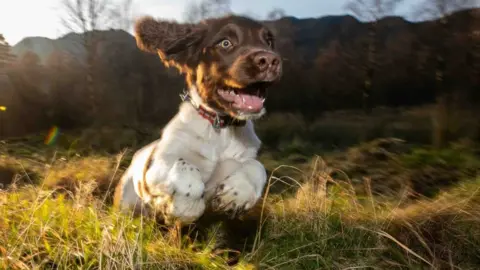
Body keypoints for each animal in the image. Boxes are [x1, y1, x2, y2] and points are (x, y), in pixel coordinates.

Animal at [113, 14, 284, 226]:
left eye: (268, 42)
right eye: (225, 43)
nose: (269, 60)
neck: (221, 127)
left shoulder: (245, 157)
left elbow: (257, 166)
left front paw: (236, 195)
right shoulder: (155, 167)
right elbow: (184, 166)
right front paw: (187, 207)